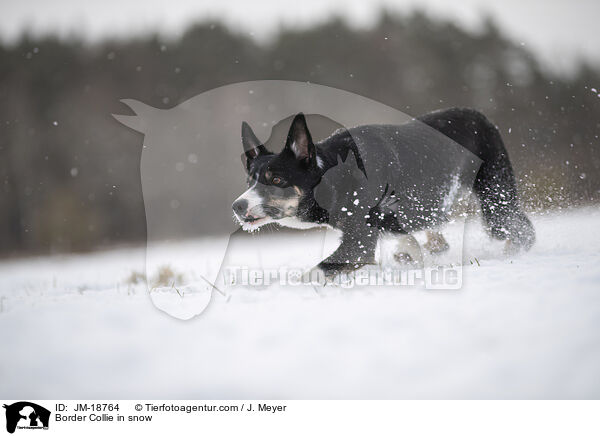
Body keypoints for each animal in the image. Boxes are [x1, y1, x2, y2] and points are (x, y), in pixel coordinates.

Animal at [233, 109, 536, 280]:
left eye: (276, 179)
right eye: (249, 180)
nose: (237, 206)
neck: (334, 175)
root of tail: (478, 115)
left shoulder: (358, 243)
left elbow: (313, 273)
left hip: (496, 202)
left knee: (521, 229)